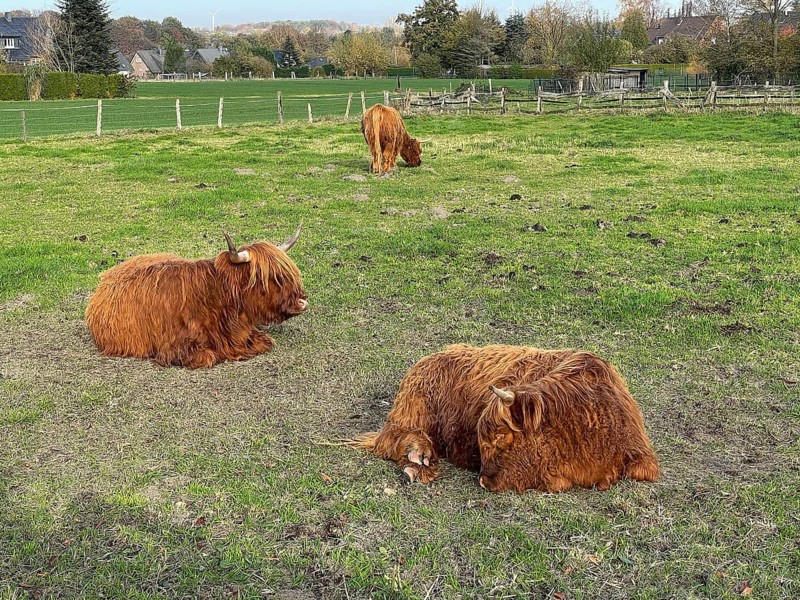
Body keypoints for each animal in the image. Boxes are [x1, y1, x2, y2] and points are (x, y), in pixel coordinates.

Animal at [347, 344, 659, 493]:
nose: (484, 481)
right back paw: (416, 458)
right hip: (414, 408)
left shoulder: (644, 461)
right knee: (393, 438)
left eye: (500, 437)